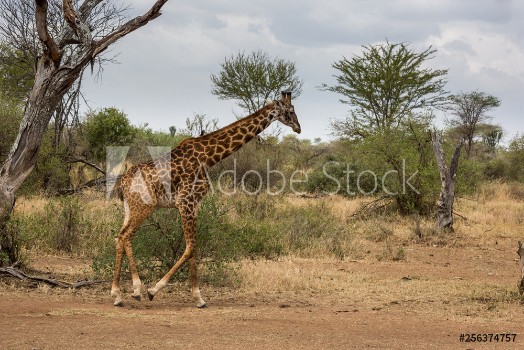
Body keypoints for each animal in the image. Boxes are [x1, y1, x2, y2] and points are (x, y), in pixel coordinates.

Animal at [109, 91, 298, 308]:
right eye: (290, 111)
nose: (298, 127)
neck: (209, 156)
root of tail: (123, 183)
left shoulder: (195, 204)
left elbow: (193, 248)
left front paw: (197, 297)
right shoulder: (186, 202)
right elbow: (191, 246)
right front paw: (154, 290)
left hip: (129, 208)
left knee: (119, 236)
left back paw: (117, 295)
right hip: (144, 206)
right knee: (126, 236)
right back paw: (136, 289)